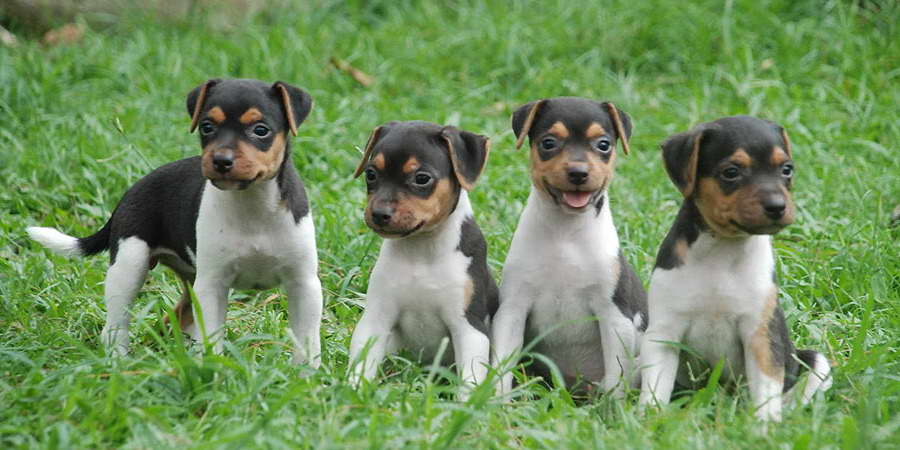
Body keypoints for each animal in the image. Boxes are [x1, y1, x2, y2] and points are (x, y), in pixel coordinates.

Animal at [25, 79, 324, 368]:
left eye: (261, 130)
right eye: (206, 127)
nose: (221, 161)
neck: (252, 205)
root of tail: (130, 191)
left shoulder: (304, 284)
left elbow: (307, 340)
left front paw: (305, 375)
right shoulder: (212, 285)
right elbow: (212, 337)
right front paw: (214, 371)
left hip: (189, 281)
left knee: (178, 316)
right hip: (129, 266)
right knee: (116, 325)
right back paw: (118, 362)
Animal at [346, 120, 500, 400]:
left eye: (421, 178)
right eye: (371, 174)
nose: (379, 214)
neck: (422, 250)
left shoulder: (469, 326)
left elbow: (470, 379)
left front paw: (466, 406)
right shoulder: (376, 317)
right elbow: (362, 363)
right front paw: (352, 393)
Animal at [492, 97, 648, 398]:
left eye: (603, 145)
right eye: (548, 143)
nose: (578, 173)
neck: (565, 233)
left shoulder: (614, 314)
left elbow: (616, 374)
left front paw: (611, 407)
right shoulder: (512, 309)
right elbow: (502, 364)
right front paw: (495, 400)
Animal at [636, 114, 832, 420]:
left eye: (786, 169)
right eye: (731, 172)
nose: (778, 206)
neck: (723, 250)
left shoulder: (760, 334)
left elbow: (766, 390)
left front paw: (765, 424)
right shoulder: (664, 333)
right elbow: (654, 389)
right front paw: (649, 420)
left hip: (815, 360)